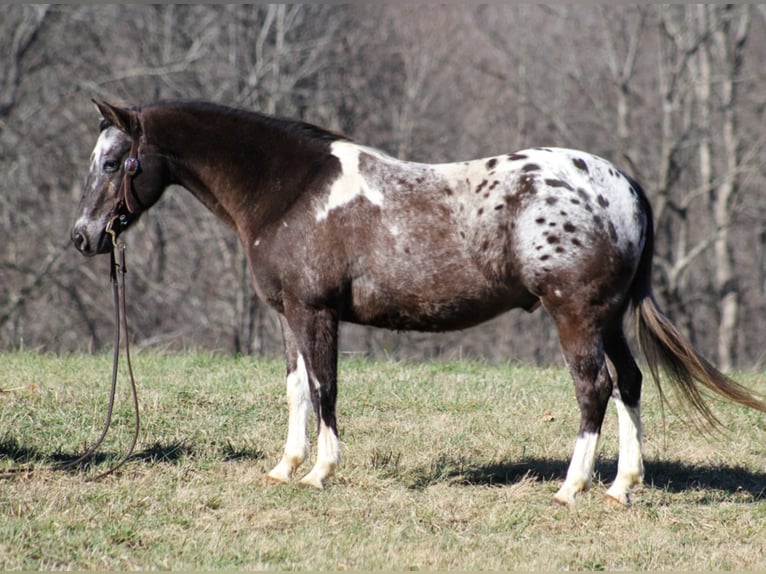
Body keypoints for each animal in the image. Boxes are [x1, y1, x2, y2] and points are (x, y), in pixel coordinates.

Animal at [73, 101, 766, 506]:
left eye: (113, 161)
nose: (83, 237)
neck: (291, 190)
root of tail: (623, 188)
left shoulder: (315, 312)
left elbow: (324, 387)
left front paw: (321, 472)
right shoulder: (289, 314)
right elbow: (297, 389)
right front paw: (285, 468)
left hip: (575, 316)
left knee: (594, 387)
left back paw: (571, 488)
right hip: (608, 318)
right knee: (629, 382)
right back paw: (622, 486)